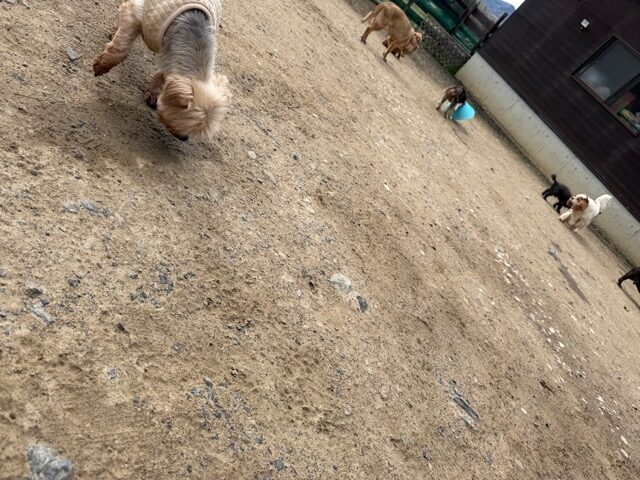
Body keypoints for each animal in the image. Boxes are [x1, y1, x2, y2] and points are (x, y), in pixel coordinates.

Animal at [93, 0, 231, 141]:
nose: (184, 138)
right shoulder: (135, 15)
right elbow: (120, 49)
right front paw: (103, 65)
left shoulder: (170, 56)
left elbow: (162, 74)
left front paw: (153, 93)